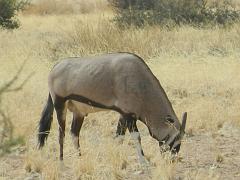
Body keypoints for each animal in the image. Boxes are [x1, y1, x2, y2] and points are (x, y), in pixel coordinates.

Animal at [38, 51, 188, 162]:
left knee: (74, 133)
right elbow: (136, 137)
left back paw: (80, 157)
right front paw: (143, 161)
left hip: (78, 112)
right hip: (60, 105)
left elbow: (119, 136)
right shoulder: (129, 116)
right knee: (61, 134)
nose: (172, 159)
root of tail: (55, 67)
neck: (140, 82)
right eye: (174, 137)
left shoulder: (123, 114)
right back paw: (62, 160)